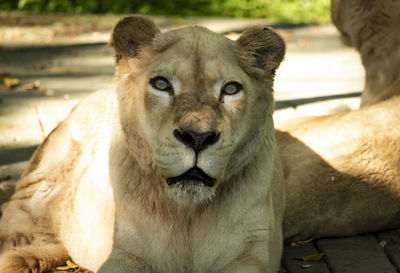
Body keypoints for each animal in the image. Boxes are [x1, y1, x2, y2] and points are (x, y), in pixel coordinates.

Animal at [0, 15, 288, 270]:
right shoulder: (122, 253)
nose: (197, 137)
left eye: (230, 89)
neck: (188, 215)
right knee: (19, 199)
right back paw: (16, 240)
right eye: (161, 84)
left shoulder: (253, 253)